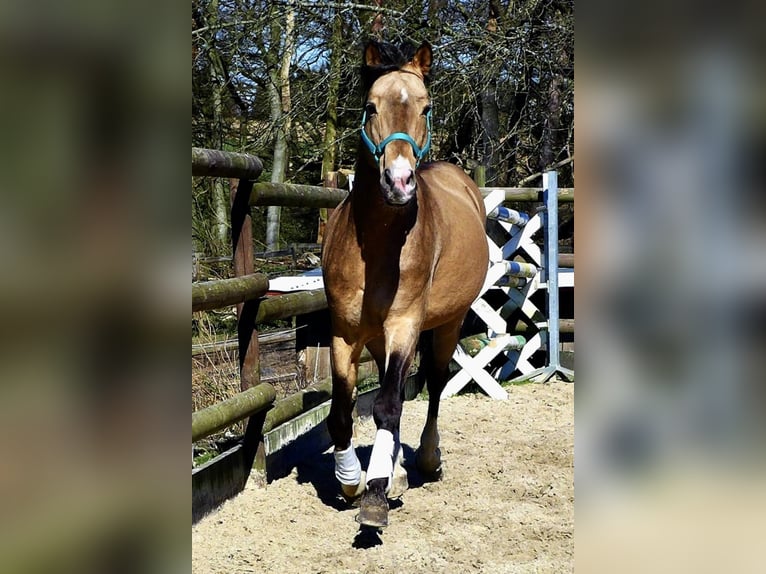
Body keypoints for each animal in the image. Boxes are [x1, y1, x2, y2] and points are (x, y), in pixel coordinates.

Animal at [321, 40, 489, 528]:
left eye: (426, 106)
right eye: (369, 106)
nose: (398, 182)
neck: (380, 245)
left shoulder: (404, 324)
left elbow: (390, 404)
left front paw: (374, 497)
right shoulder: (345, 331)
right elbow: (344, 411)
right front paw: (351, 481)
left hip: (446, 323)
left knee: (433, 382)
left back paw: (426, 461)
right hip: (380, 336)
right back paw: (393, 472)